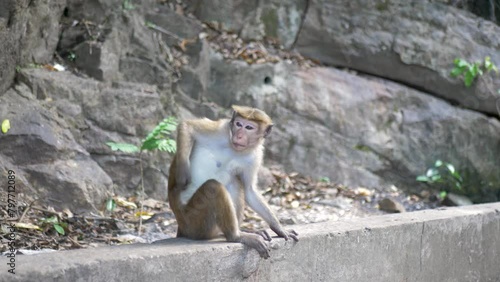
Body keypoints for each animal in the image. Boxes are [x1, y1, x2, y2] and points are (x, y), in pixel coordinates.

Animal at [168, 105, 298, 258]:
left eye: (249, 127)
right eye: (238, 124)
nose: (239, 135)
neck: (235, 148)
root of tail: (181, 226)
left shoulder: (255, 156)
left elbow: (249, 190)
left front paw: (279, 228)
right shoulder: (222, 129)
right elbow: (187, 126)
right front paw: (182, 172)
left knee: (234, 182)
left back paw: (234, 232)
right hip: (192, 222)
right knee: (213, 187)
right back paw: (236, 236)